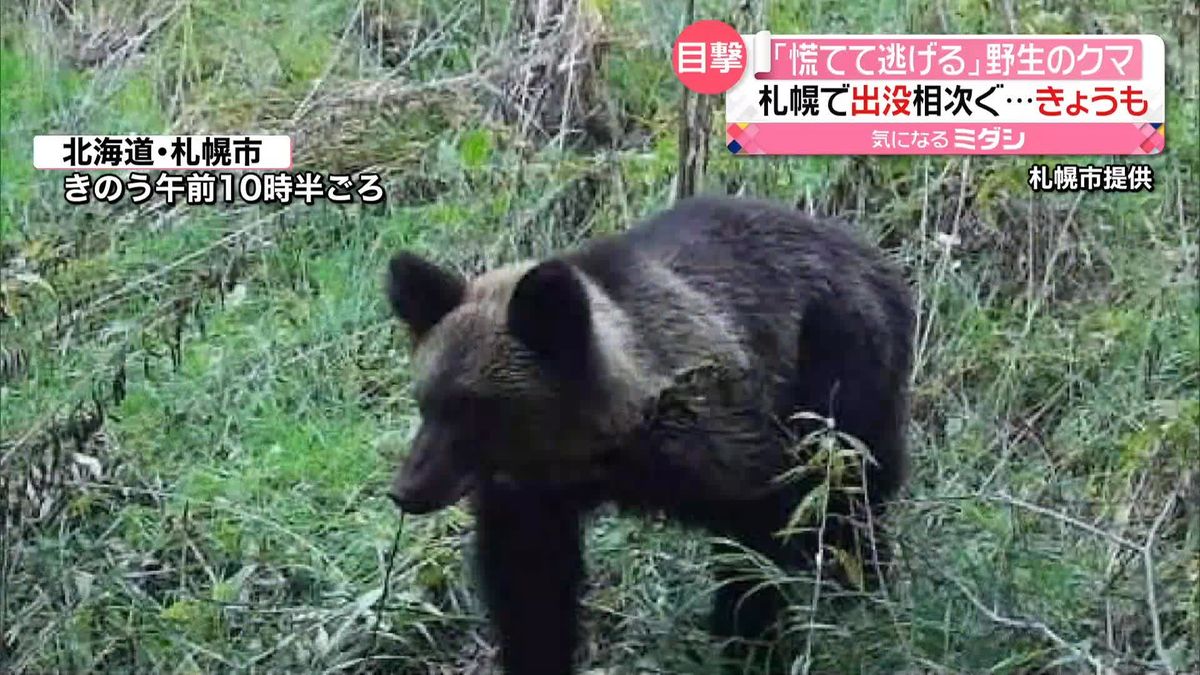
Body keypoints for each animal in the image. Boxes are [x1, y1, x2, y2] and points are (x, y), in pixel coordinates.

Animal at [381, 195, 907, 672]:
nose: (406, 490)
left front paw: (753, 645)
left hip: (840, 370)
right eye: (426, 400)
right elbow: (530, 588)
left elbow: (755, 553)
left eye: (473, 408)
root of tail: (875, 256)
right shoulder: (531, 499)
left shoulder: (729, 450)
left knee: (850, 494)